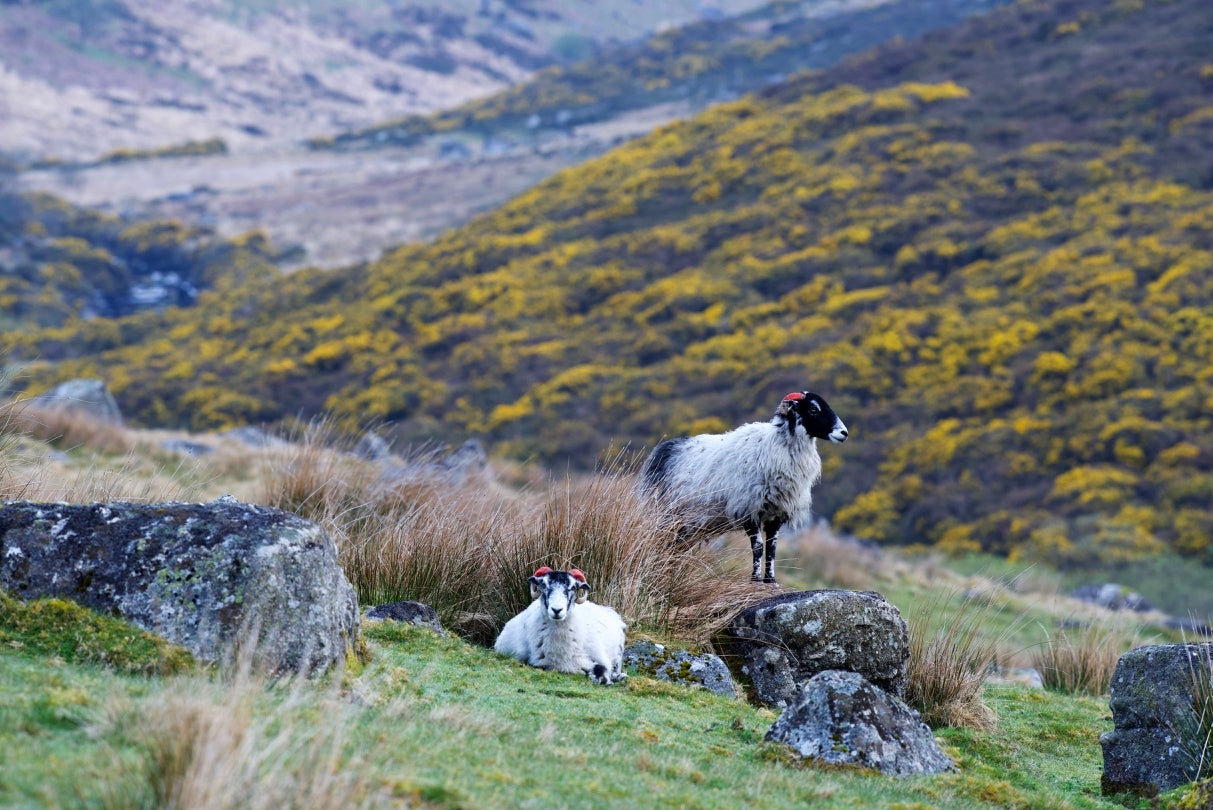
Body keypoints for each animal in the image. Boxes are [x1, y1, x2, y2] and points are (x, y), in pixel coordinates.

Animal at [492, 567, 625, 688]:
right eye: (543, 584)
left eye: (573, 587)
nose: (556, 610)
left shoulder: (600, 658)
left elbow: (601, 672)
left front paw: (610, 678)